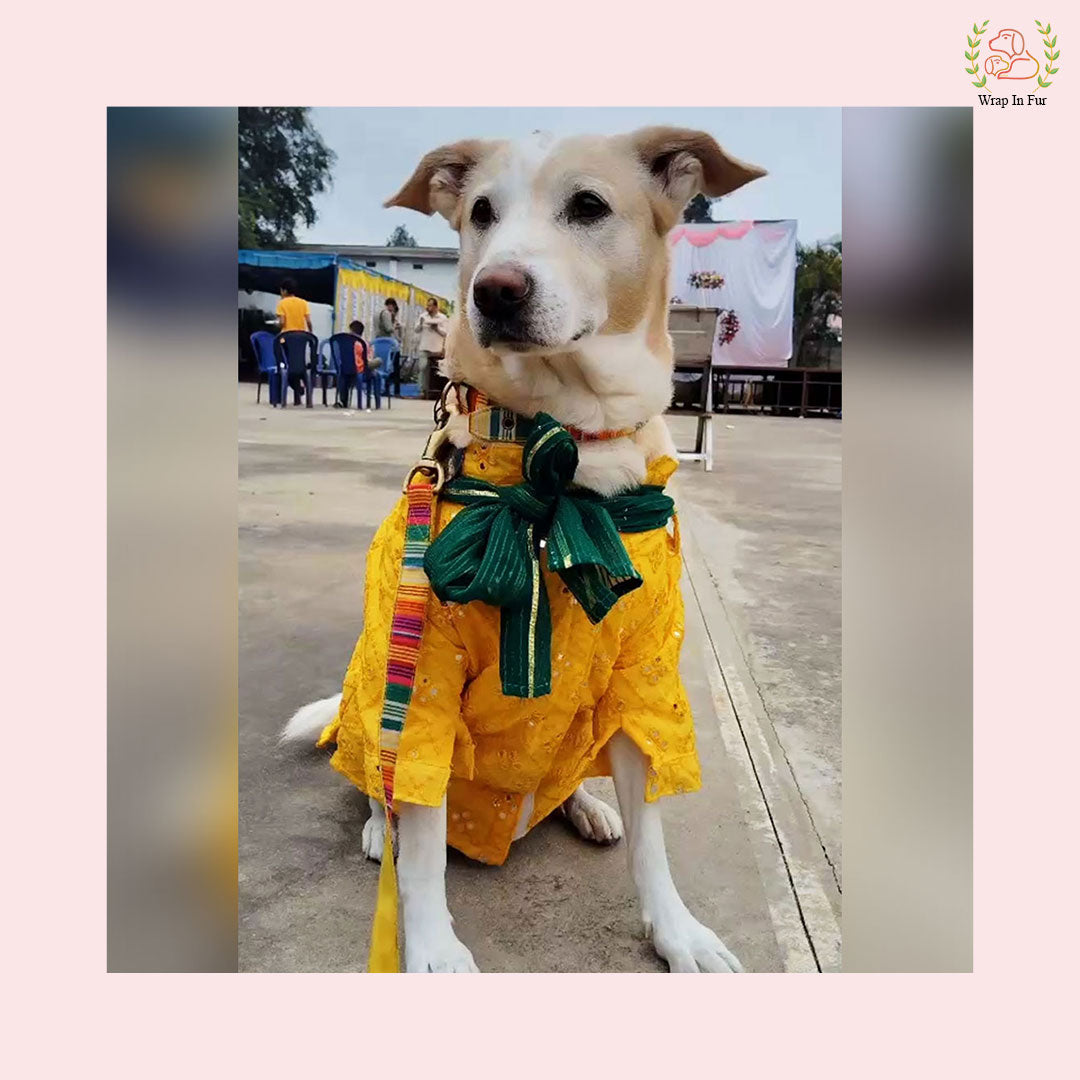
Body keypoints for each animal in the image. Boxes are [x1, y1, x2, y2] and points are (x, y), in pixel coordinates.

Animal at [282, 124, 764, 972]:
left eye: (589, 206)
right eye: (480, 212)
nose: (495, 290)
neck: (562, 452)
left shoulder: (643, 679)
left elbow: (655, 841)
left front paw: (678, 932)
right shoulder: (427, 677)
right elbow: (423, 836)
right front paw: (431, 947)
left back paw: (588, 805)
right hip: (374, 686)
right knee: (376, 778)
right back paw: (378, 828)